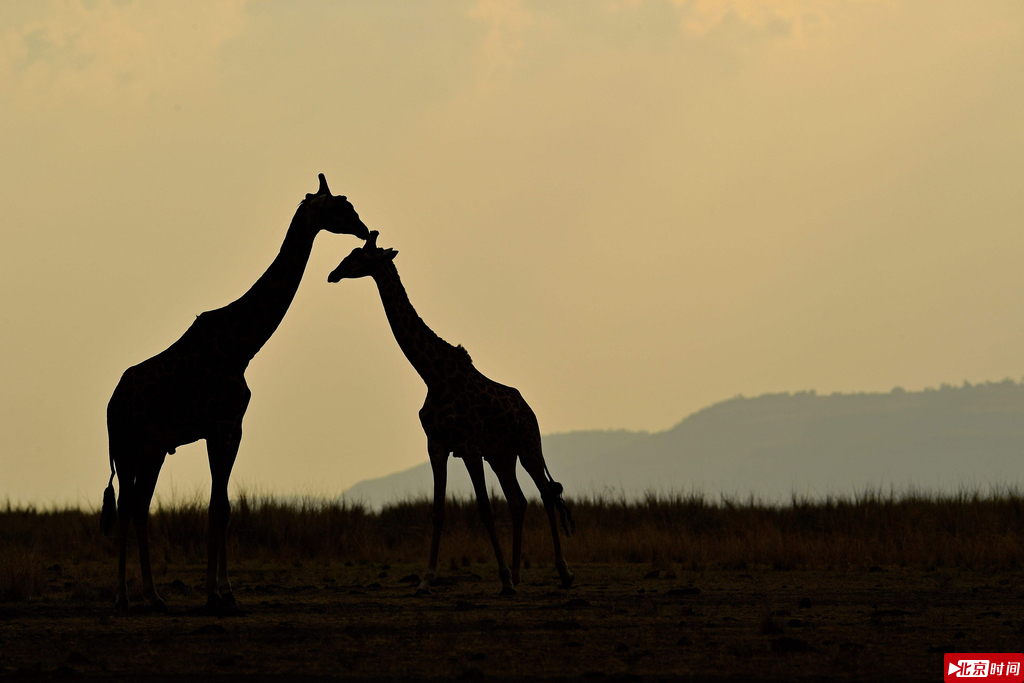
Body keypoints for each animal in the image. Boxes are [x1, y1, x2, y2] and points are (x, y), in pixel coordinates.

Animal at [102, 174, 368, 610]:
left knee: (139, 506)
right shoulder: (215, 426)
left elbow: (224, 506)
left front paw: (227, 592)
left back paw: (155, 596)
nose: (363, 229)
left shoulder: (234, 427)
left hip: (153, 449)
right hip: (127, 447)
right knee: (125, 506)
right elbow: (213, 506)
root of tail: (110, 404)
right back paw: (124, 598)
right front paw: (212, 593)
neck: (242, 347)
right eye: (339, 206)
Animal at [329, 232, 577, 593]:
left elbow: (485, 510)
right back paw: (520, 574)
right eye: (350, 253)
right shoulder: (437, 446)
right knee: (518, 500)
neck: (432, 374)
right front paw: (426, 580)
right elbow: (438, 511)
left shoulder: (470, 447)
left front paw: (503, 579)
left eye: (359, 257)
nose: (333, 274)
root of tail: (529, 411)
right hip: (501, 455)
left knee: (545, 494)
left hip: (528, 447)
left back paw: (562, 572)